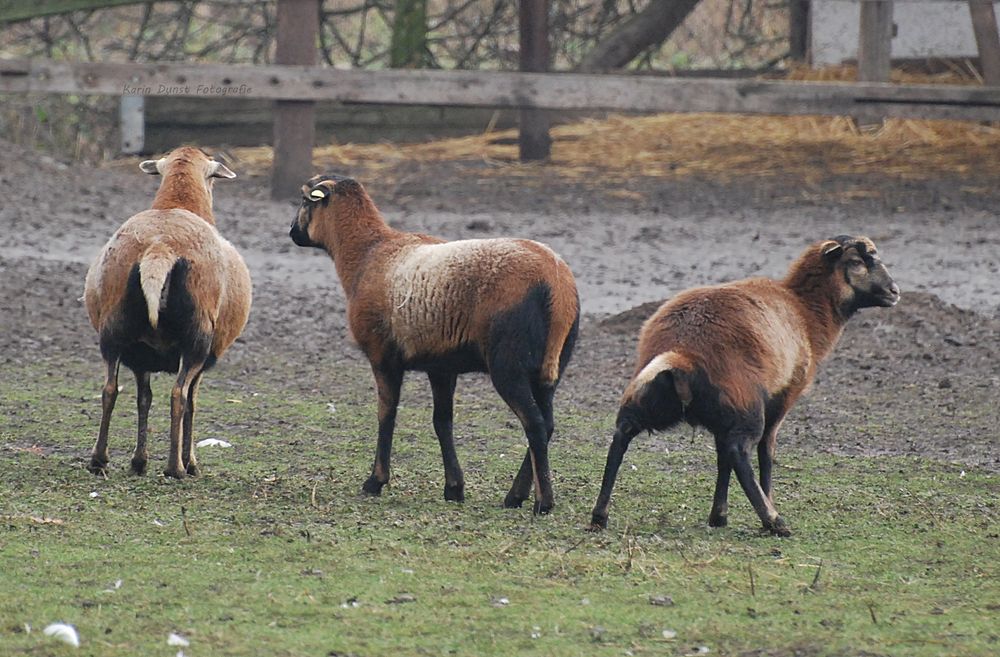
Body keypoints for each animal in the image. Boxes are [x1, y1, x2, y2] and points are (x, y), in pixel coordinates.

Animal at [84, 146, 252, 480]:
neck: (176, 204)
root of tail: (159, 249)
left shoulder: (142, 359)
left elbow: (143, 399)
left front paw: (139, 461)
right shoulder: (204, 358)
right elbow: (192, 403)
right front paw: (191, 463)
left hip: (115, 334)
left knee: (109, 389)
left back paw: (99, 459)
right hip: (197, 339)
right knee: (179, 396)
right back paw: (176, 467)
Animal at [290, 172, 580, 510]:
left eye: (304, 200)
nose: (292, 233)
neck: (367, 251)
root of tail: (557, 281)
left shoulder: (383, 356)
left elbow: (386, 414)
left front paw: (375, 481)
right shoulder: (442, 365)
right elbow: (442, 421)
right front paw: (454, 488)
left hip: (509, 363)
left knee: (534, 423)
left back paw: (541, 502)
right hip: (552, 365)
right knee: (547, 423)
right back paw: (515, 495)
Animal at [588, 236, 904, 532]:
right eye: (858, 261)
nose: (894, 292)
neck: (806, 312)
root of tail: (682, 350)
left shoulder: (722, 419)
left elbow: (721, 459)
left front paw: (719, 515)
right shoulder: (781, 399)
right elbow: (766, 453)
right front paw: (763, 502)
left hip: (658, 397)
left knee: (623, 433)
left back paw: (599, 515)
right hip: (745, 404)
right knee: (740, 451)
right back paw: (774, 521)